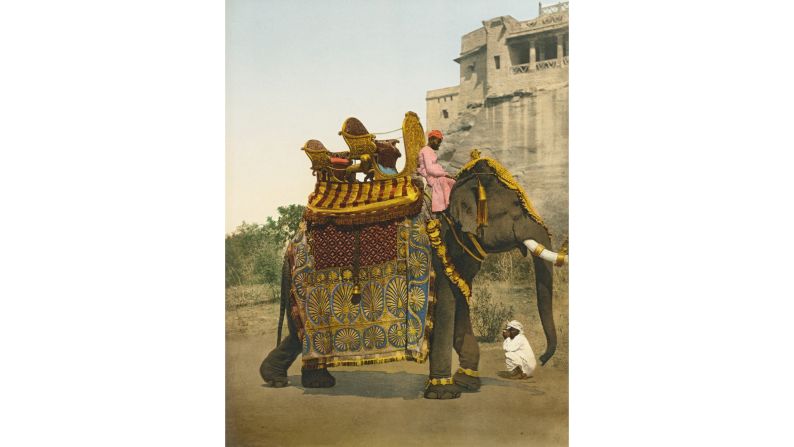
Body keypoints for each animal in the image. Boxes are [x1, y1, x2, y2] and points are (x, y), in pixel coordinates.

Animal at [258, 156, 564, 400]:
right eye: (516, 209)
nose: (543, 359)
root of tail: (290, 243)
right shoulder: (436, 256)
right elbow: (445, 313)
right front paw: (444, 394)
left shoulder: (456, 258)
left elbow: (461, 311)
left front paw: (468, 385)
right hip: (304, 279)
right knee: (301, 331)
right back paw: (292, 381)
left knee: (297, 332)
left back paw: (291, 380)